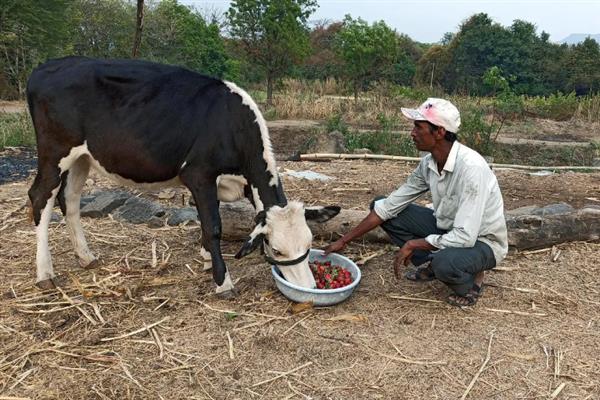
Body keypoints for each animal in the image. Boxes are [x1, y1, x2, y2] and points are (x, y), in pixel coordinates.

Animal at [25, 56, 340, 296]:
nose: (310, 286)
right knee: (40, 197)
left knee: (70, 199)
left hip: (82, 157)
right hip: (54, 151)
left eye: (310, 243)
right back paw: (45, 273)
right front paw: (222, 281)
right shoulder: (198, 174)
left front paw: (206, 259)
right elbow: (213, 226)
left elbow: (206, 220)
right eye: (276, 249)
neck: (231, 124)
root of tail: (46, 66)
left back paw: (86, 257)